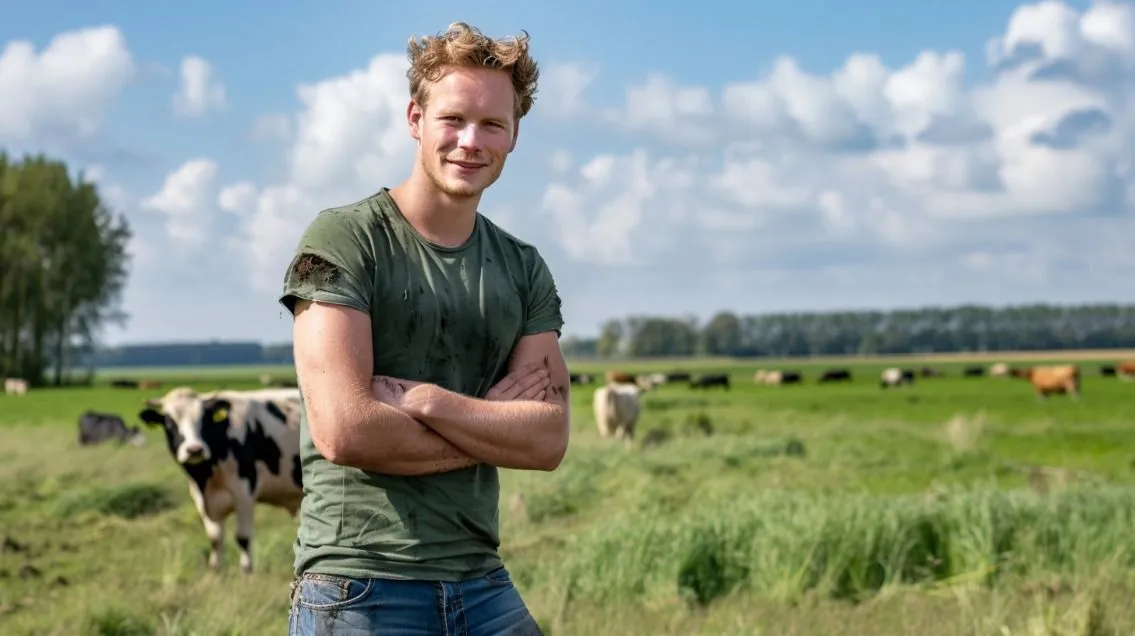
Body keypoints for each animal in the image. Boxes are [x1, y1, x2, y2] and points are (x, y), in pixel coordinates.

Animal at [136, 386, 304, 574]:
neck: (206, 476)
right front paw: (215, 569)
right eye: (170, 422)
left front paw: (246, 570)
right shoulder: (202, 500)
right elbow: (215, 537)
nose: (194, 450)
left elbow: (243, 537)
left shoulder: (244, 492)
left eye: (203, 420)